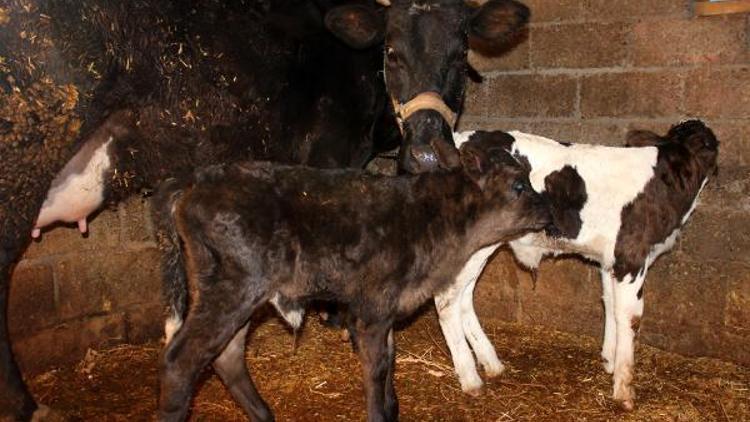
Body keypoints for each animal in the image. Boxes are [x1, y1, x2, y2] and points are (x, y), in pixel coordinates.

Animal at [438, 120, 720, 410]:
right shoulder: (631, 257)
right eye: (709, 145)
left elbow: (610, 304)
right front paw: (623, 387)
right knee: (447, 300)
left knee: (464, 298)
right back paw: (470, 378)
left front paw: (609, 360)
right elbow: (630, 317)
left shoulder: (609, 261)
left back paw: (491, 363)